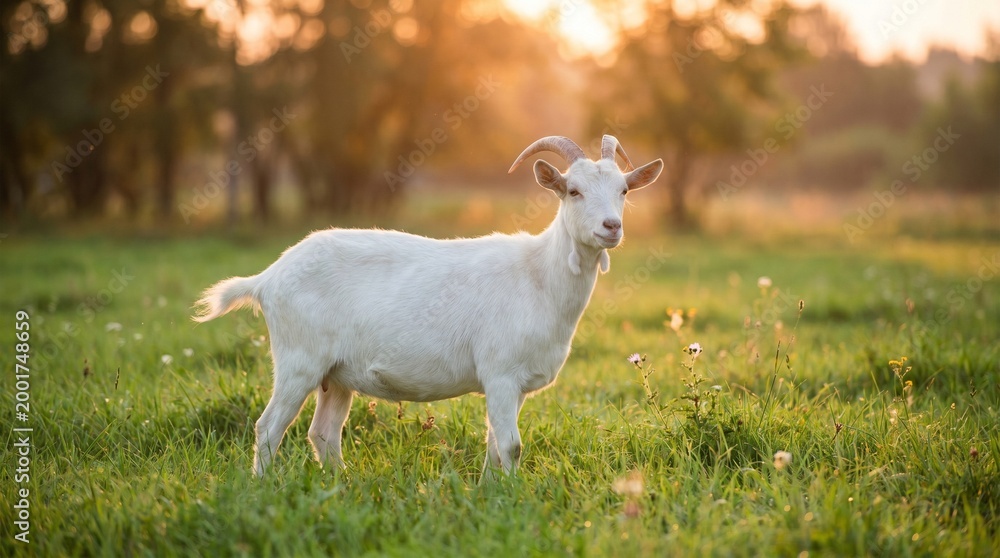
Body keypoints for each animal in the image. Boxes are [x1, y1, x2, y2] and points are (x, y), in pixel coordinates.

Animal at [193, 135, 663, 478]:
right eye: (573, 190)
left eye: (623, 190)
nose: (611, 227)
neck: (539, 275)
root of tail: (268, 277)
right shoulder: (500, 372)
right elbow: (511, 446)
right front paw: (509, 498)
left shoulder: (514, 383)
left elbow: (496, 446)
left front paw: (490, 492)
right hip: (299, 359)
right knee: (268, 427)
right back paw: (264, 487)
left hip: (336, 374)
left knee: (323, 433)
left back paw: (340, 484)